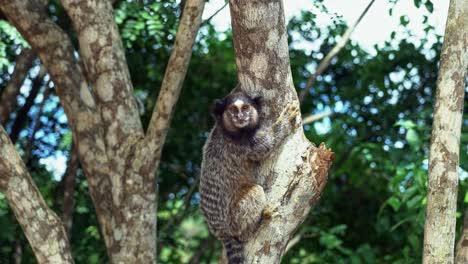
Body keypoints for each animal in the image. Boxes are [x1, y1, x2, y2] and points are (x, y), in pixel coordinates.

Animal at [199, 91, 298, 264]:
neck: (229, 131)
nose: (240, 116)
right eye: (233, 110)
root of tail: (222, 232)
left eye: (245, 108)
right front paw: (285, 119)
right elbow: (266, 145)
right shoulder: (243, 146)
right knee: (255, 191)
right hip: (234, 219)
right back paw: (259, 222)